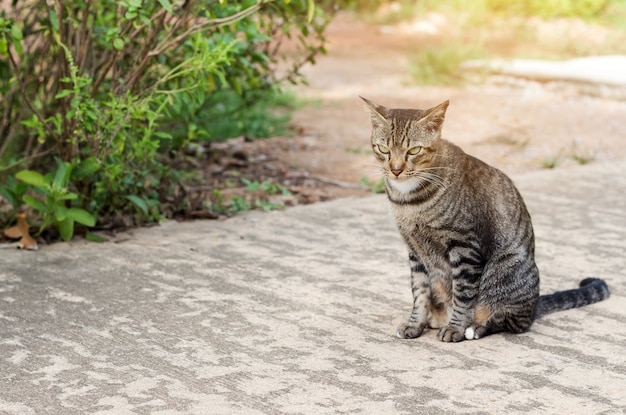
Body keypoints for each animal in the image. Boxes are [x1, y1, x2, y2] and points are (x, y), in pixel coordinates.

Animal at [360, 98, 608, 344]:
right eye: (383, 149)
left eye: (414, 150)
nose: (395, 169)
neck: (409, 202)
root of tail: (534, 305)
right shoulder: (415, 251)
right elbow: (420, 292)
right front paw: (415, 324)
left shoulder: (464, 247)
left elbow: (463, 295)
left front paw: (455, 327)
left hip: (504, 272)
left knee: (512, 321)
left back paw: (475, 328)